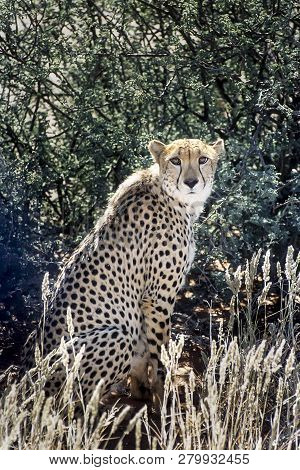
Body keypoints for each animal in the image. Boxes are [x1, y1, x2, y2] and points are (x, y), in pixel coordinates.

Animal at [22, 136, 223, 404]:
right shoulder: (157, 298)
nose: (191, 182)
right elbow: (159, 353)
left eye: (203, 159)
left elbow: (145, 354)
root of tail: (27, 380)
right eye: (175, 161)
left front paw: (142, 391)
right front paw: (163, 396)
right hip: (115, 336)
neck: (173, 197)